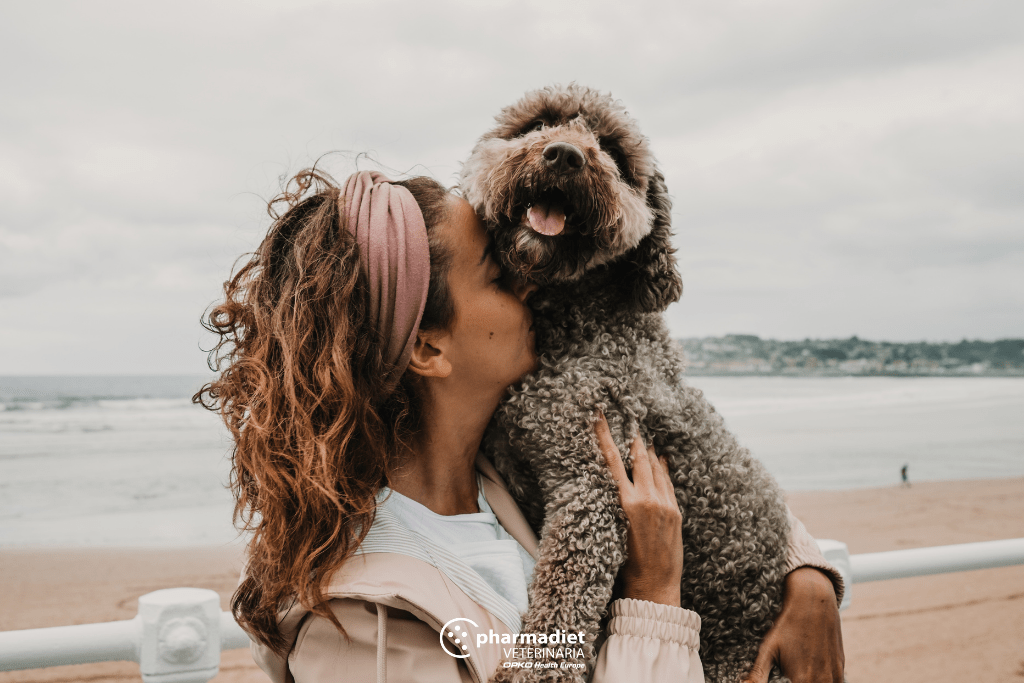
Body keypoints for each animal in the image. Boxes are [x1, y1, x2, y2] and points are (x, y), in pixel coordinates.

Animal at [462, 87, 790, 683]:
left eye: (612, 149)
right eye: (539, 122)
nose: (565, 155)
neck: (578, 321)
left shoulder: (592, 486)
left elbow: (563, 604)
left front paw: (532, 672)